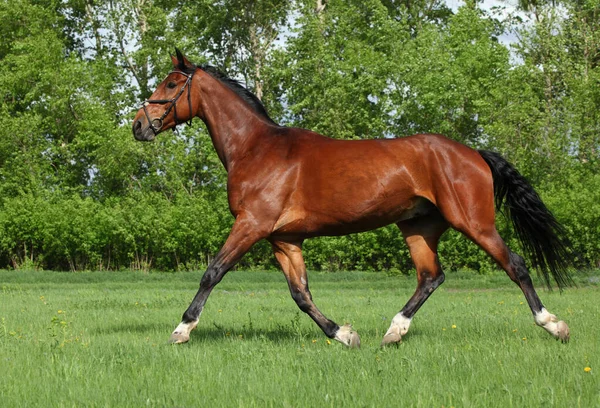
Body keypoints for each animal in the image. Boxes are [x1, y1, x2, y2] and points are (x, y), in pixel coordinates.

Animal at [131, 49, 572, 346]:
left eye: (171, 84)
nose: (139, 126)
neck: (256, 149)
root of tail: (473, 153)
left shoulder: (252, 225)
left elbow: (213, 271)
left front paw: (182, 329)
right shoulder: (284, 238)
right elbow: (301, 294)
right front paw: (343, 333)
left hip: (474, 222)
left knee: (515, 264)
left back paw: (554, 325)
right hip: (419, 226)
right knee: (431, 276)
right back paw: (393, 332)